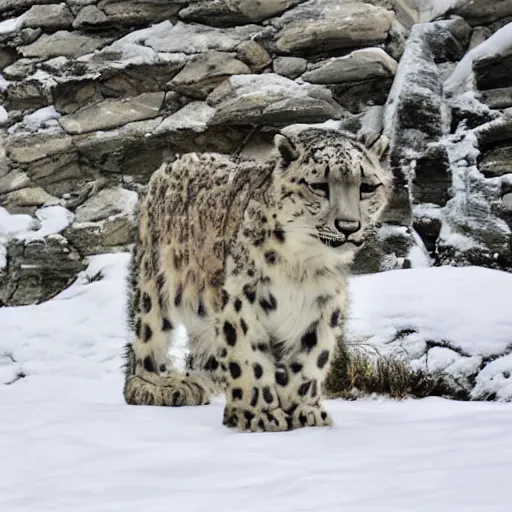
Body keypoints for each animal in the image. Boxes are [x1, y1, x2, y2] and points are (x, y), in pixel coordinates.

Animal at [123, 128, 392, 432]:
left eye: (367, 187)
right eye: (320, 186)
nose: (348, 226)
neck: (303, 266)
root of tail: (173, 162)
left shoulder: (323, 306)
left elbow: (311, 358)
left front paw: (304, 412)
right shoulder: (244, 297)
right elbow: (249, 357)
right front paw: (259, 414)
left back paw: (201, 383)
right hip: (155, 284)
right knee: (146, 340)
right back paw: (158, 386)